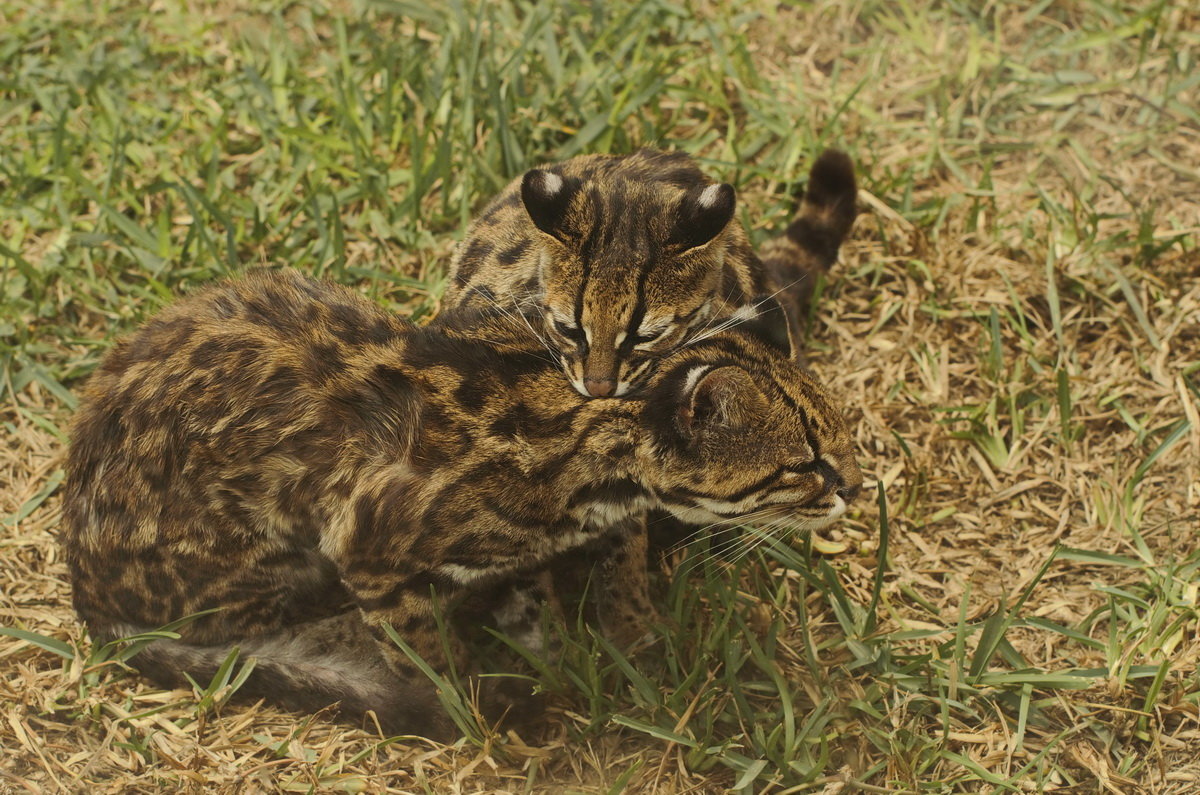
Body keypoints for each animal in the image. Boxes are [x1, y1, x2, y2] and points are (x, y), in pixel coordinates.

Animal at [60, 269, 864, 739]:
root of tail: (87, 599)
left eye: (842, 434)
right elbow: (429, 656)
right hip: (268, 554)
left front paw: (570, 653)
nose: (856, 485)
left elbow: (549, 601)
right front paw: (472, 703)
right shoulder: (369, 544)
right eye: (806, 466)